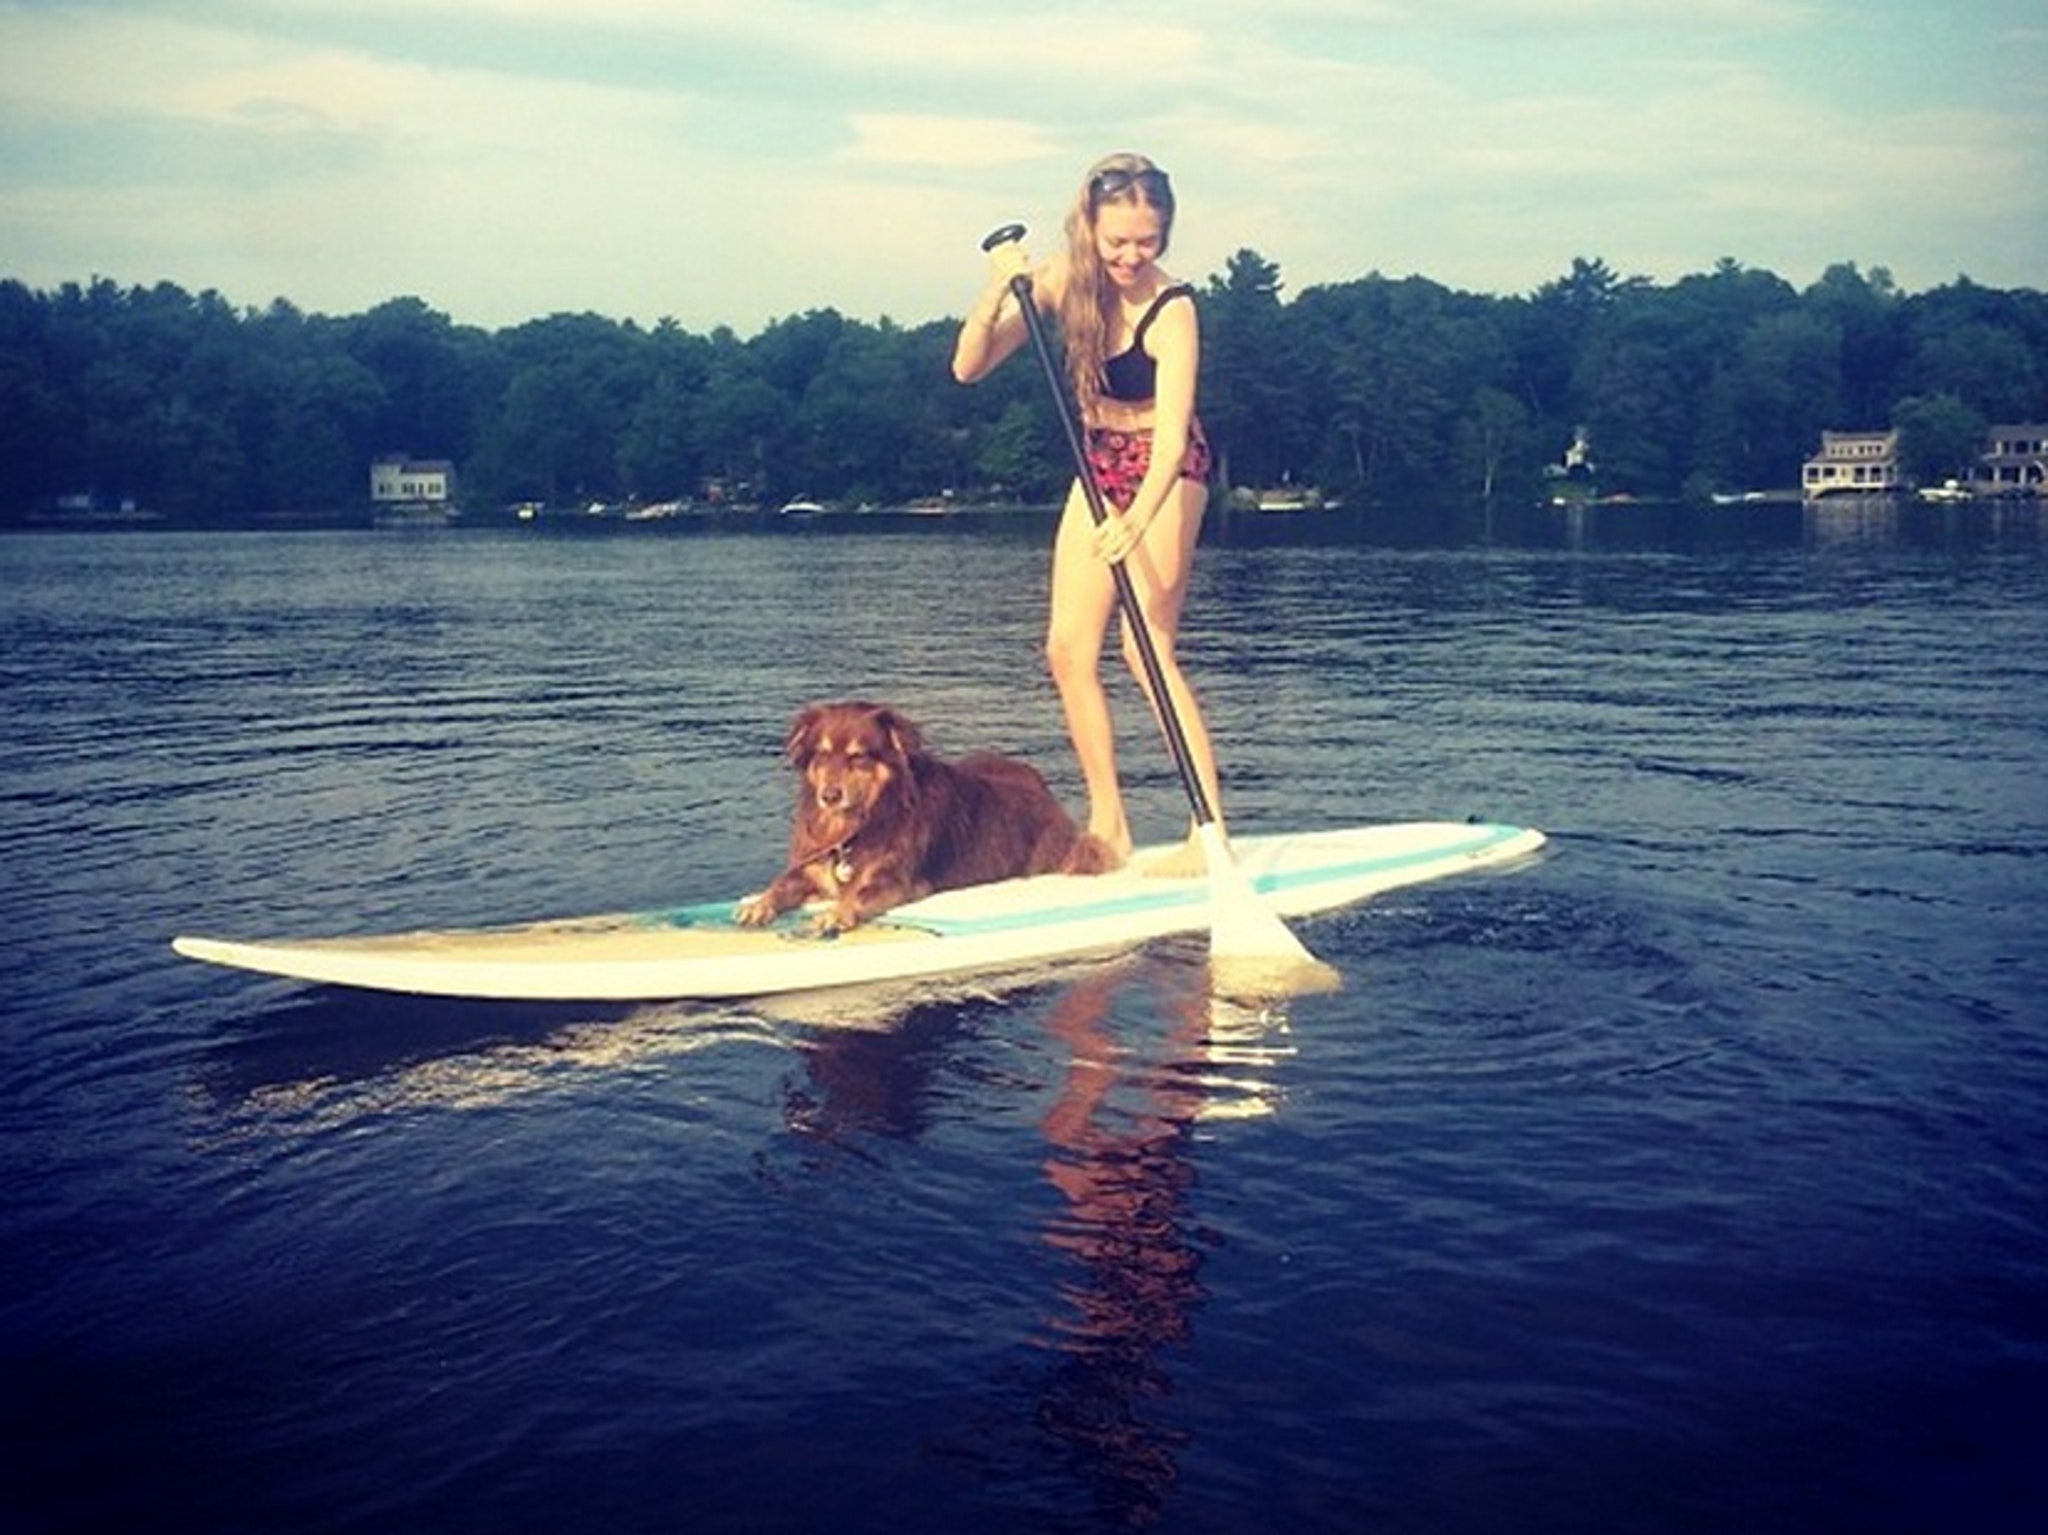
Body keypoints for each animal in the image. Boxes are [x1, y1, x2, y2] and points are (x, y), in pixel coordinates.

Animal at [741, 699, 1122, 937]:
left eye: (858, 757)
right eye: (821, 754)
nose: (830, 796)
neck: (861, 823)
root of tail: (1043, 789)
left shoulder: (898, 881)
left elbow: (859, 893)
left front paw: (837, 912)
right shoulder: (810, 868)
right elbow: (783, 884)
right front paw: (759, 904)